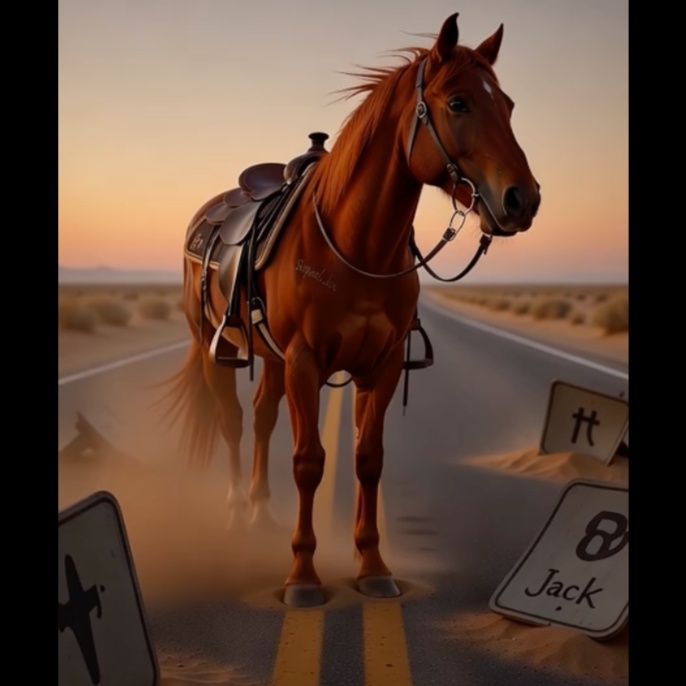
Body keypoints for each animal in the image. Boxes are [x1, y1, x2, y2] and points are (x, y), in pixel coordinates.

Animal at [162, 13, 541, 607]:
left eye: (507, 104)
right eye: (458, 103)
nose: (523, 200)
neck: (357, 247)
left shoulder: (378, 367)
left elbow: (368, 459)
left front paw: (372, 567)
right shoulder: (304, 363)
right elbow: (308, 460)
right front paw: (302, 576)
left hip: (270, 360)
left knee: (264, 418)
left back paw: (261, 512)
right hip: (213, 349)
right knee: (233, 422)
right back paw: (235, 514)